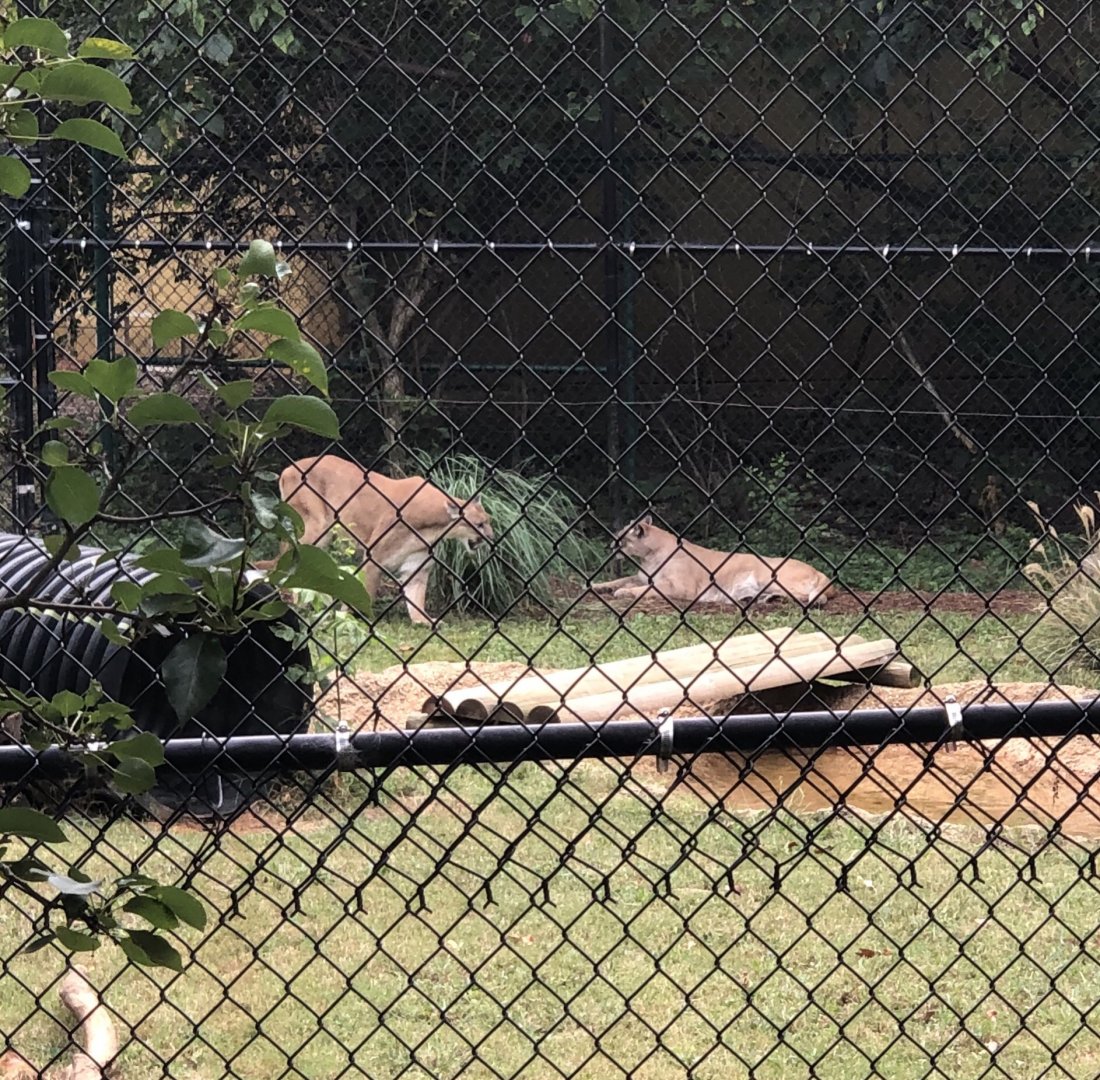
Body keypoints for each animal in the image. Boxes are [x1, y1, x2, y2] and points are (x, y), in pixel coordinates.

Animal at [256, 454, 494, 625]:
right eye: (479, 524)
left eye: (488, 521)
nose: (491, 537)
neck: (434, 526)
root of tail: (288, 468)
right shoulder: (374, 555)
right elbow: (366, 589)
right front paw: (353, 617)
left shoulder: (416, 566)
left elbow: (416, 597)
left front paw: (424, 621)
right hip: (312, 529)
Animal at [592, 514, 835, 608]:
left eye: (620, 537)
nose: (610, 545)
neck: (649, 555)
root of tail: (821, 573)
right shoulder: (640, 576)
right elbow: (619, 579)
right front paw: (596, 585)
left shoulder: (680, 588)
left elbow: (646, 589)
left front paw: (623, 593)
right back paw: (756, 598)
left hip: (768, 574)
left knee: (813, 596)